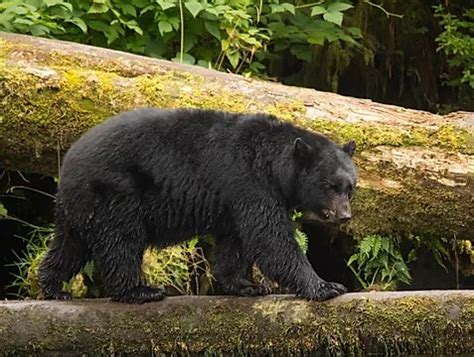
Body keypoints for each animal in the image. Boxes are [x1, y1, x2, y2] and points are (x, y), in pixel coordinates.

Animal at [39, 107, 358, 302]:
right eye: (330, 186)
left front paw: (247, 285)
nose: (345, 216)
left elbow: (235, 242)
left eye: (350, 188)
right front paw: (326, 285)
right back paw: (140, 290)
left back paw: (53, 286)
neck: (272, 164)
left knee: (70, 245)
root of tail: (68, 161)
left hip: (80, 207)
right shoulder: (250, 183)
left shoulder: (234, 199)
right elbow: (271, 239)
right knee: (120, 242)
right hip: (114, 194)